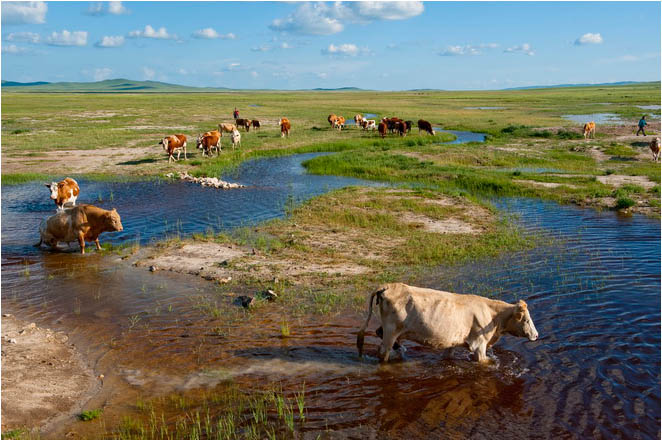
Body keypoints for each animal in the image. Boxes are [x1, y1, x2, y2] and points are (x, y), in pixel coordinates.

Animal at [358, 284, 540, 362]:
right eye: (526, 319)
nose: (537, 335)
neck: (493, 316)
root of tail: (387, 286)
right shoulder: (479, 344)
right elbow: (486, 362)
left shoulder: (452, 342)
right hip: (391, 330)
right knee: (383, 351)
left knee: (378, 332)